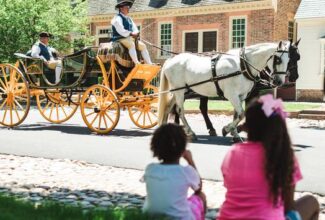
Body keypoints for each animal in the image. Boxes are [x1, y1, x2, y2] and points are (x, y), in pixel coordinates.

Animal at [157, 41, 288, 141]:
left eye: (289, 60)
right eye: (278, 60)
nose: (279, 82)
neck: (242, 65)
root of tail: (170, 60)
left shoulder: (240, 95)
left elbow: (237, 114)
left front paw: (235, 134)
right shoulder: (231, 94)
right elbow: (241, 113)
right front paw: (226, 129)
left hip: (179, 91)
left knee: (168, 107)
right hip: (180, 91)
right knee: (180, 111)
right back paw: (191, 132)